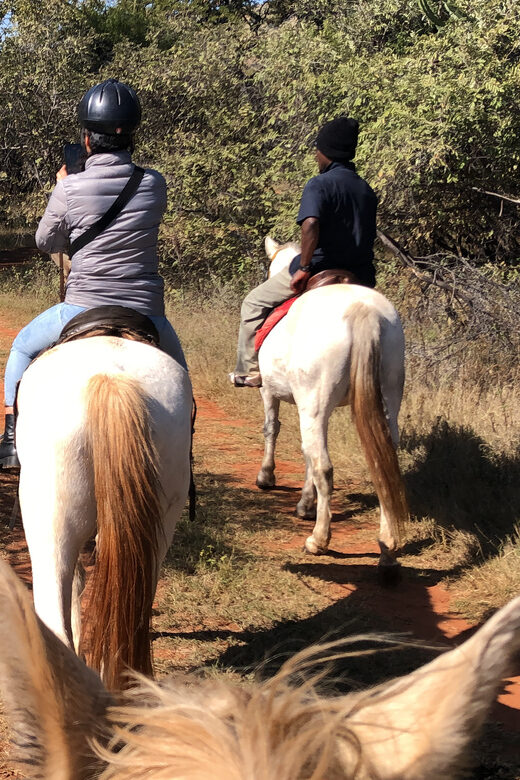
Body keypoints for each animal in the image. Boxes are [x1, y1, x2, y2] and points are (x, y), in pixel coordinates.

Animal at [256, 237, 407, 575]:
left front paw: (267, 478)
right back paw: (388, 551)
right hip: (389, 397)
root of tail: (363, 311)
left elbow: (273, 429)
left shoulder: (271, 392)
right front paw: (305, 503)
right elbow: (305, 453)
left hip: (314, 404)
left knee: (324, 467)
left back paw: (318, 540)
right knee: (384, 463)